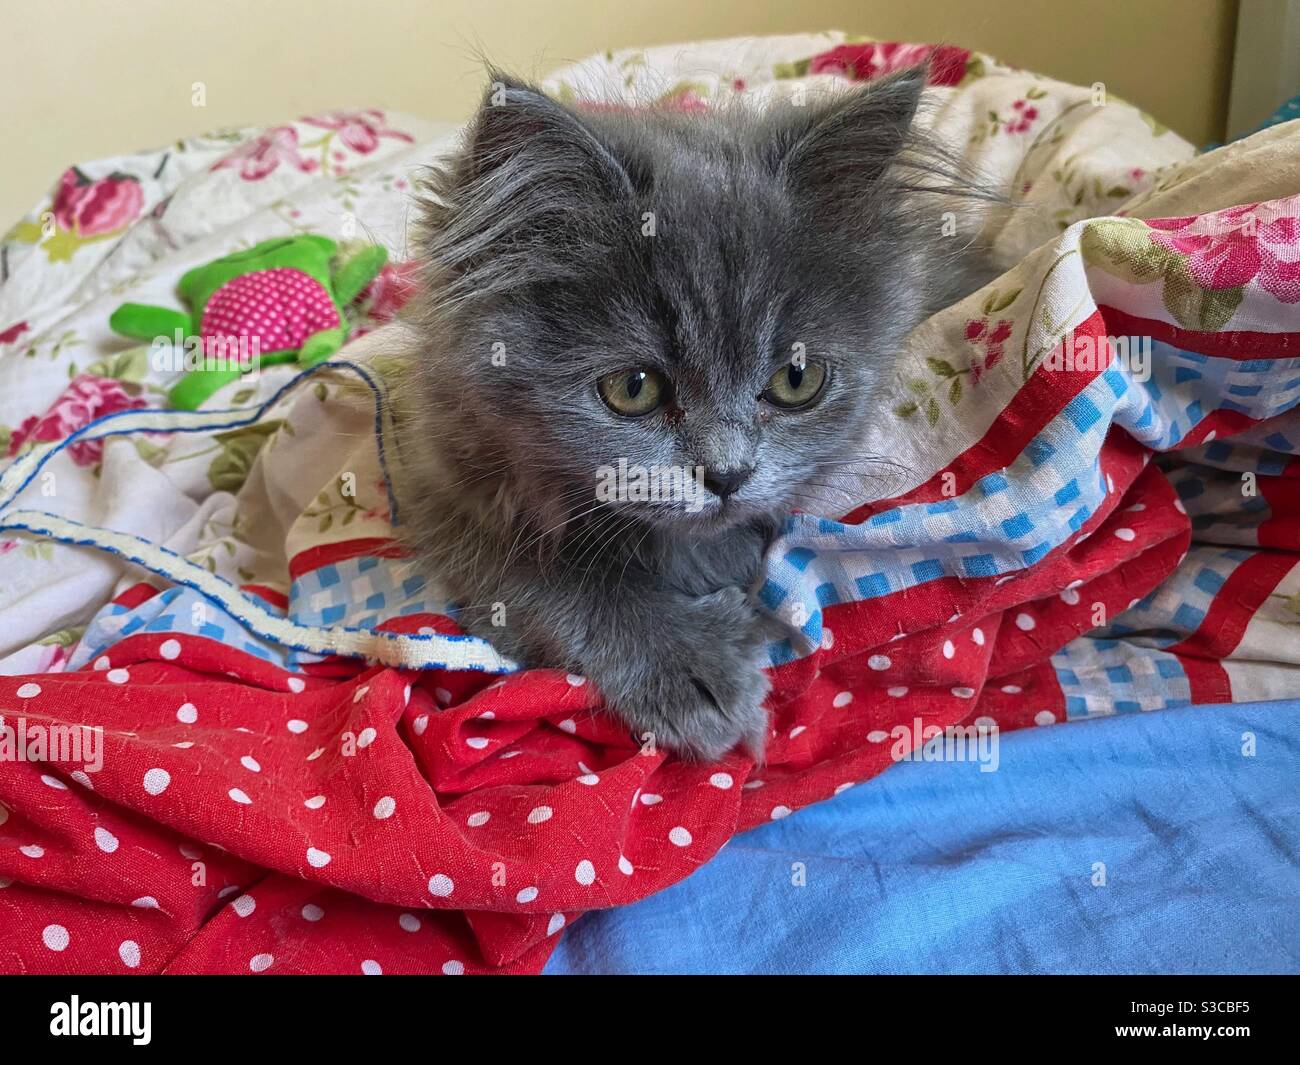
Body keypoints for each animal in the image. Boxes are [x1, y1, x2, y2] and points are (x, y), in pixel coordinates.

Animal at [395, 66, 993, 764]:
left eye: (797, 380)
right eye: (632, 388)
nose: (727, 475)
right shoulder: (443, 490)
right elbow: (544, 574)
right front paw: (686, 664)